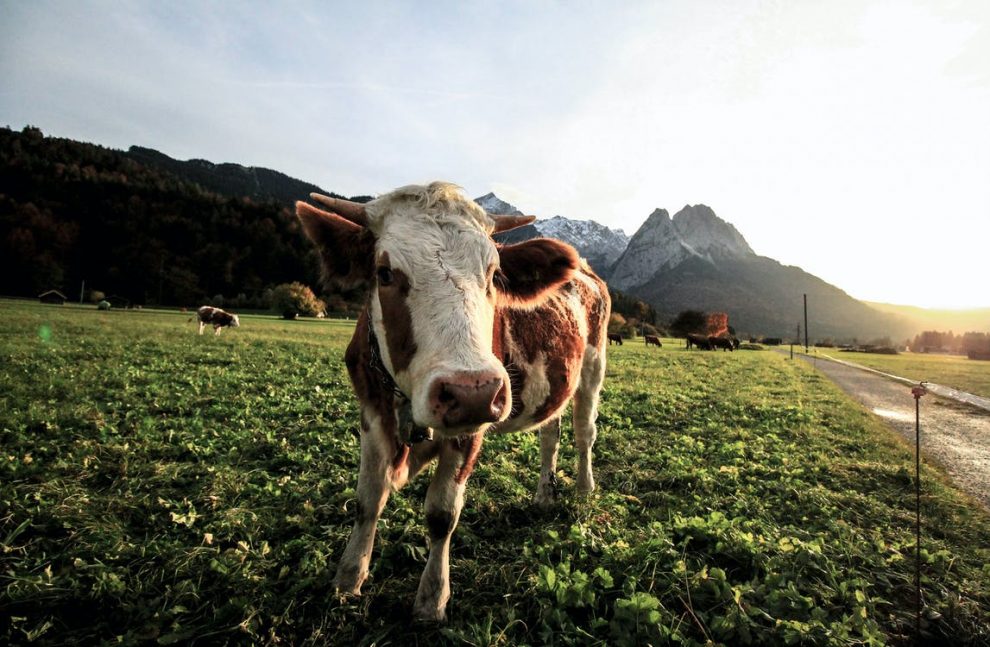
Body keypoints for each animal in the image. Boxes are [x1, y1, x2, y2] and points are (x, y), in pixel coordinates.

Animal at [294, 182, 612, 624]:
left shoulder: (472, 426)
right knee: (551, 432)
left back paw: (583, 489)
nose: (471, 391)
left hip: (592, 369)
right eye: (385, 273)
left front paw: (432, 598)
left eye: (494, 274)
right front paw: (348, 577)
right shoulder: (371, 412)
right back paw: (545, 495)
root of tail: (585, 269)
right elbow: (367, 500)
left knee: (585, 434)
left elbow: (442, 514)